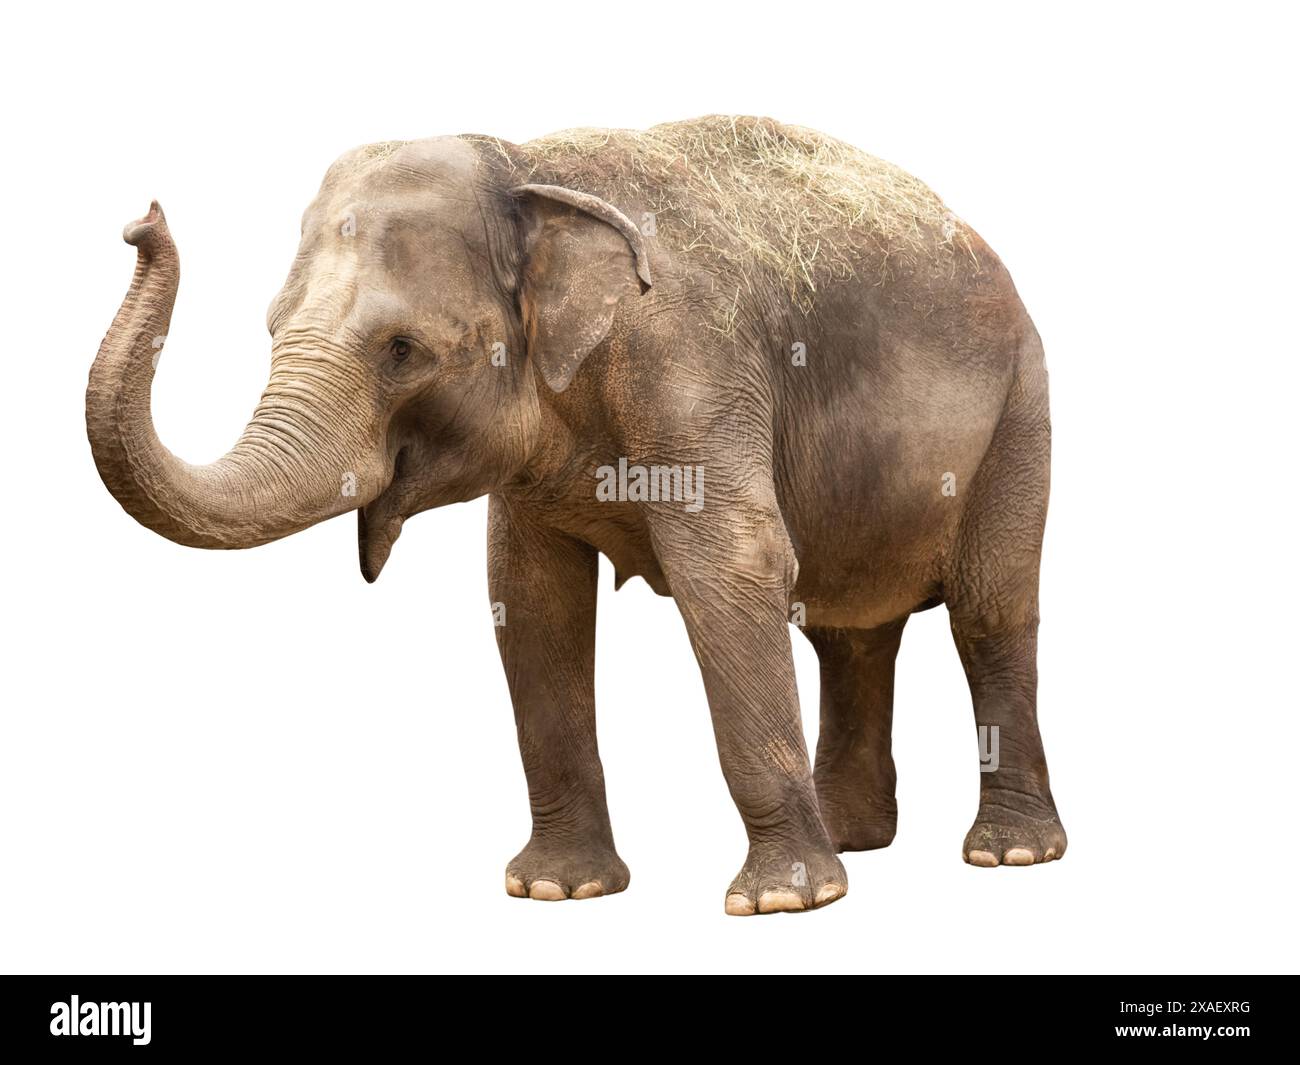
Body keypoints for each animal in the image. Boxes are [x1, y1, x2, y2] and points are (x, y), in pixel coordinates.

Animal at [87, 115, 1065, 915]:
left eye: (403, 350)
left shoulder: (695, 366)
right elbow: (530, 599)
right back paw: (858, 838)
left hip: (1021, 410)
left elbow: (731, 571)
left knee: (989, 611)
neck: (527, 165)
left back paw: (1008, 854)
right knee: (849, 632)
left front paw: (784, 902)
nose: (143, 219)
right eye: (271, 328)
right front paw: (558, 890)